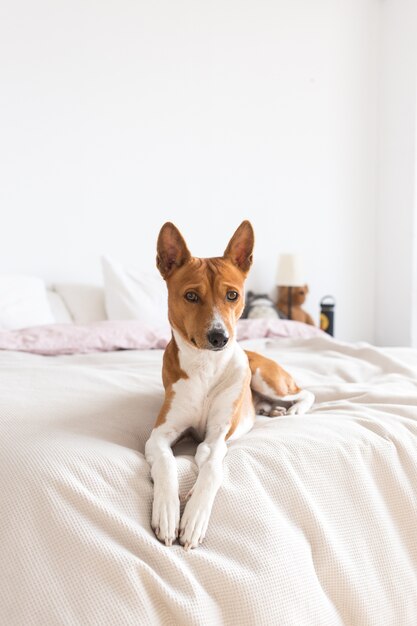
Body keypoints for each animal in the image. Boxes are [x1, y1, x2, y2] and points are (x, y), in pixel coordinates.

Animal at [145, 219, 314, 544]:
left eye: (232, 295)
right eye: (191, 296)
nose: (219, 337)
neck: (206, 368)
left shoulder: (216, 438)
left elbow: (210, 467)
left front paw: (195, 516)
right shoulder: (159, 434)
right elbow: (167, 463)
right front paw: (168, 512)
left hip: (263, 376)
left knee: (306, 392)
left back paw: (292, 409)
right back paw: (272, 410)